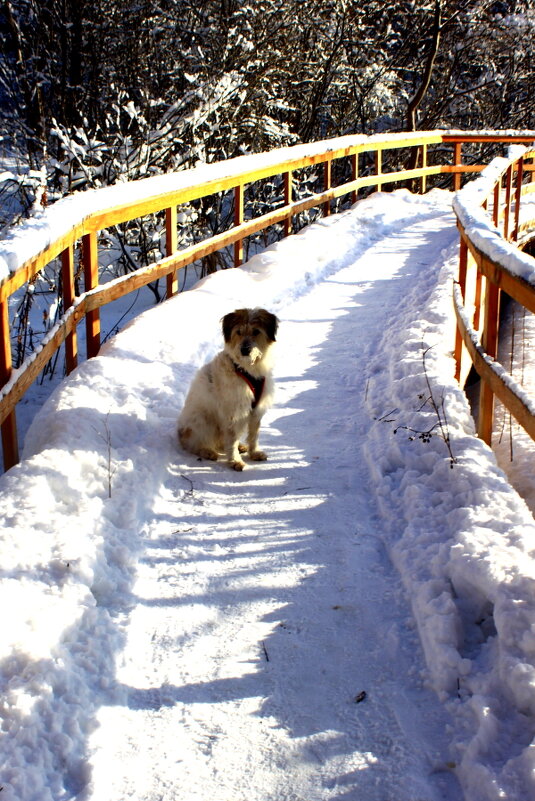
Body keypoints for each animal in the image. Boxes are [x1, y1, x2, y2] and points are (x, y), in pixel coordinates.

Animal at [179, 306, 280, 468]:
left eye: (256, 331)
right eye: (238, 331)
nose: (244, 350)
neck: (246, 369)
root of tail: (180, 432)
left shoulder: (256, 410)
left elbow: (254, 435)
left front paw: (254, 452)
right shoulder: (234, 411)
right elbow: (231, 439)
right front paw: (235, 460)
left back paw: (240, 447)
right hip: (204, 421)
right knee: (194, 444)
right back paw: (207, 452)